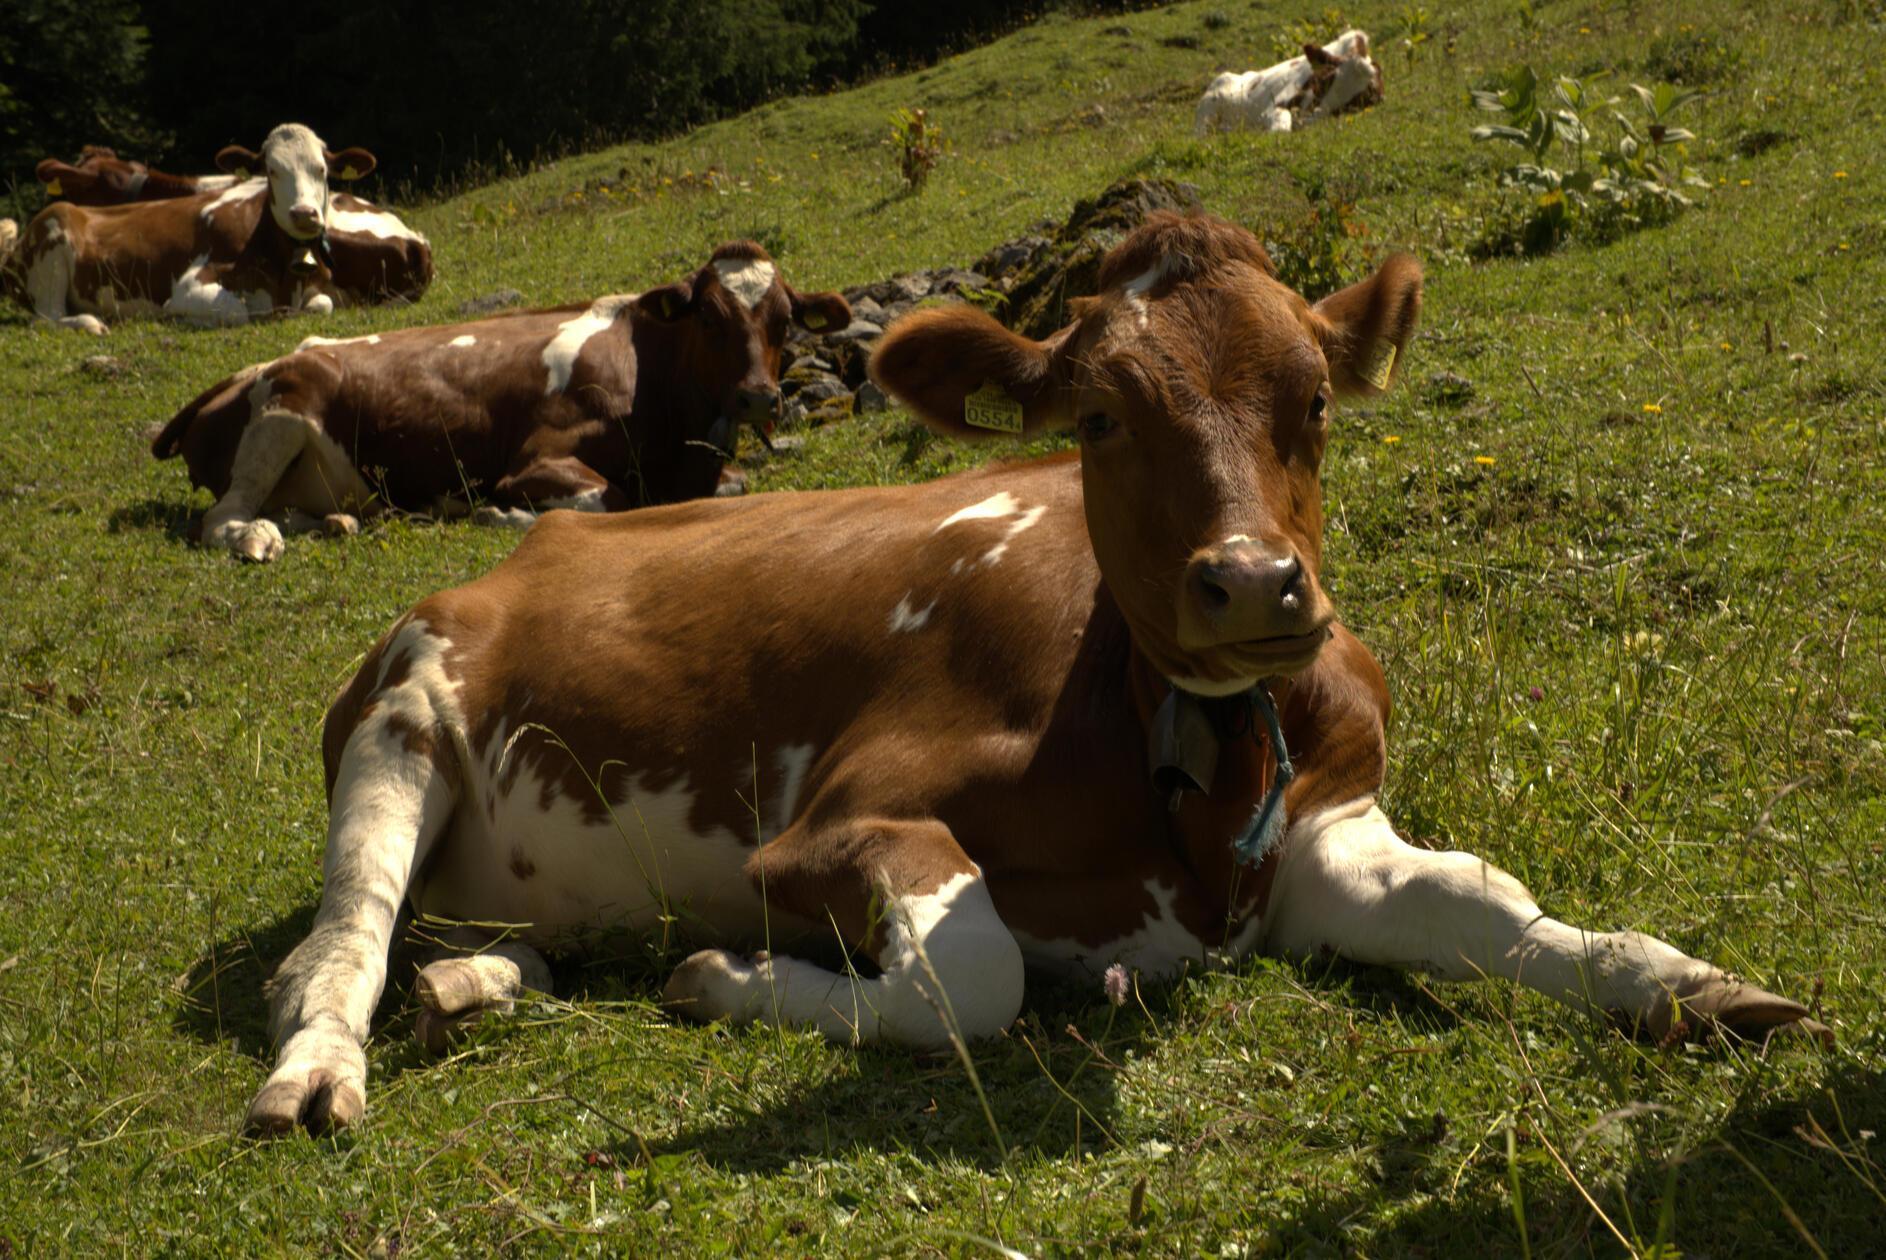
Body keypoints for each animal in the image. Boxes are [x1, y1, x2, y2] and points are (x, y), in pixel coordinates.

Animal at [150, 240, 851, 562]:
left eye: (785, 320)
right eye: (708, 317)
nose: (758, 398)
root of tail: (253, 366)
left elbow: (733, 484)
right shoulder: (536, 459)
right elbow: (608, 498)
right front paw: (495, 514)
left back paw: (338, 523)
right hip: (284, 408)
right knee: (220, 518)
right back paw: (256, 538)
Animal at [241, 211, 1825, 1137]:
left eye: (1314, 397)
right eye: (1099, 419)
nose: (1253, 584)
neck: (1172, 767)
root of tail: (535, 546)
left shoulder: (1324, 835)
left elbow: (1486, 903)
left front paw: (1682, 983)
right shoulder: (830, 826)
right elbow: (976, 971)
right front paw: (725, 977)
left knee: (468, 943)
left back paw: (475, 985)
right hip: (399, 720)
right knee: (341, 939)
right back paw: (321, 1071)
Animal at [1195, 30, 1384, 135]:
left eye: (1358, 100)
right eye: (1327, 79)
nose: (1308, 117)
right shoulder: (1274, 105)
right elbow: (1281, 126)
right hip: (1207, 112)